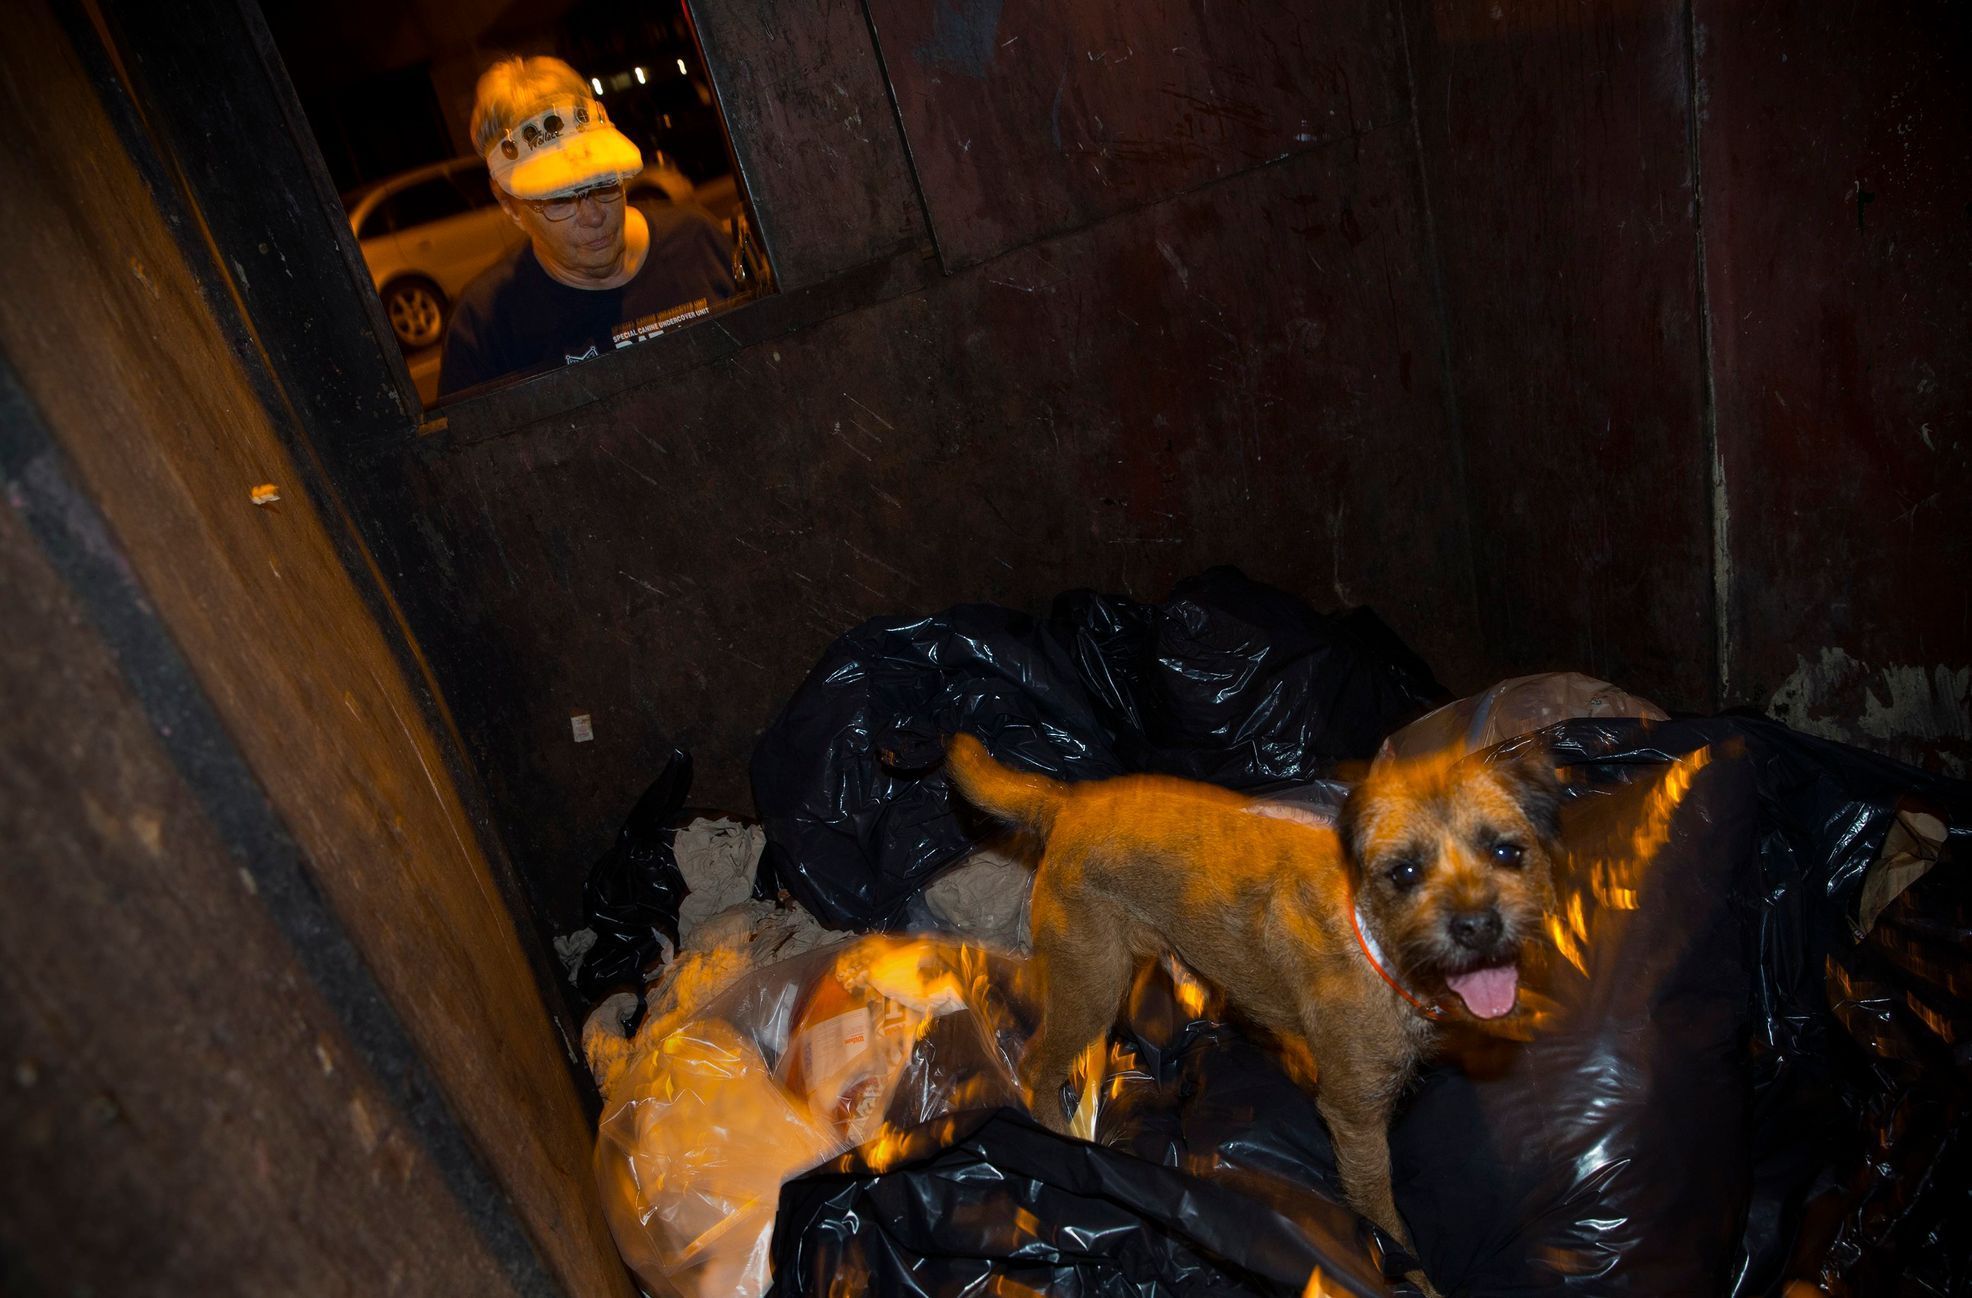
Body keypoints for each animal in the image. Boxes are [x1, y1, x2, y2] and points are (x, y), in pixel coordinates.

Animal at [946, 733, 1561, 1262]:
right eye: (1404, 872)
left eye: (1508, 852)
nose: (1478, 927)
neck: (1373, 939)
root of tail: (1067, 801)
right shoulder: (1356, 1121)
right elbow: (1388, 1222)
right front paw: (1407, 1271)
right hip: (1091, 989)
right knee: (1038, 1065)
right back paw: (1066, 1143)